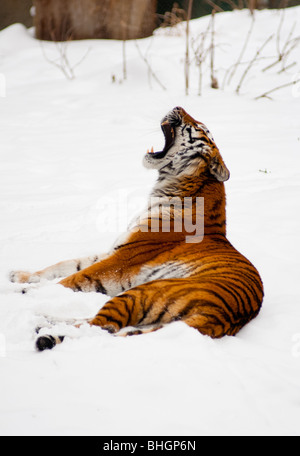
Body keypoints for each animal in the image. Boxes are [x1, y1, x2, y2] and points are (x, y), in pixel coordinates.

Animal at [9, 108, 264, 352]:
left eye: (201, 128)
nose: (178, 106)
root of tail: (220, 319)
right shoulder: (114, 250)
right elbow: (62, 266)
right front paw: (20, 277)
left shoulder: (120, 261)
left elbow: (72, 278)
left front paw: (24, 292)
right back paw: (42, 322)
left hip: (142, 291)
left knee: (102, 326)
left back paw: (43, 328)